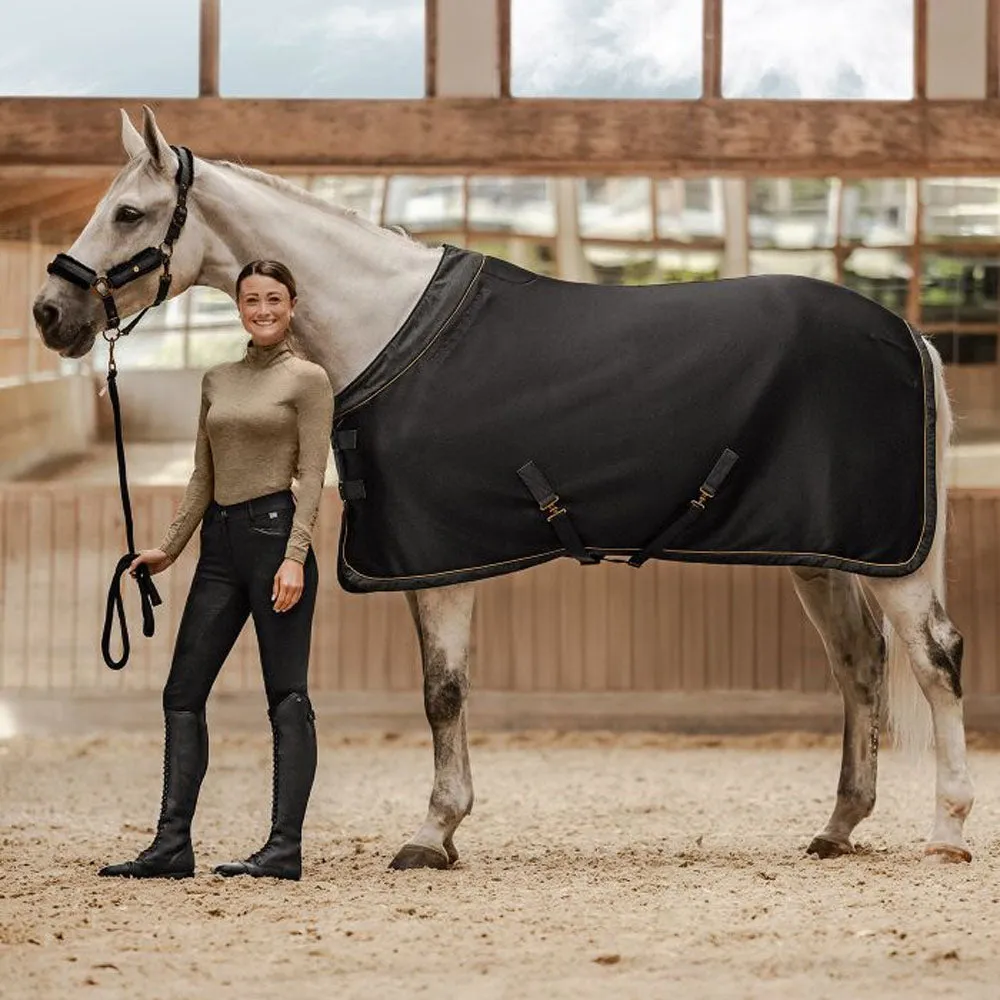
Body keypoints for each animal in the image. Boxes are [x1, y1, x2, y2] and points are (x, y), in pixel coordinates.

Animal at [32, 106, 974, 868]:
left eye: (128, 212)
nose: (48, 313)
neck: (387, 327)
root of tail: (912, 338)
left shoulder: (438, 559)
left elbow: (442, 690)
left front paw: (432, 832)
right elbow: (443, 689)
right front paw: (443, 831)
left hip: (893, 561)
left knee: (933, 660)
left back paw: (950, 831)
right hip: (825, 552)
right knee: (858, 663)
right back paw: (840, 827)